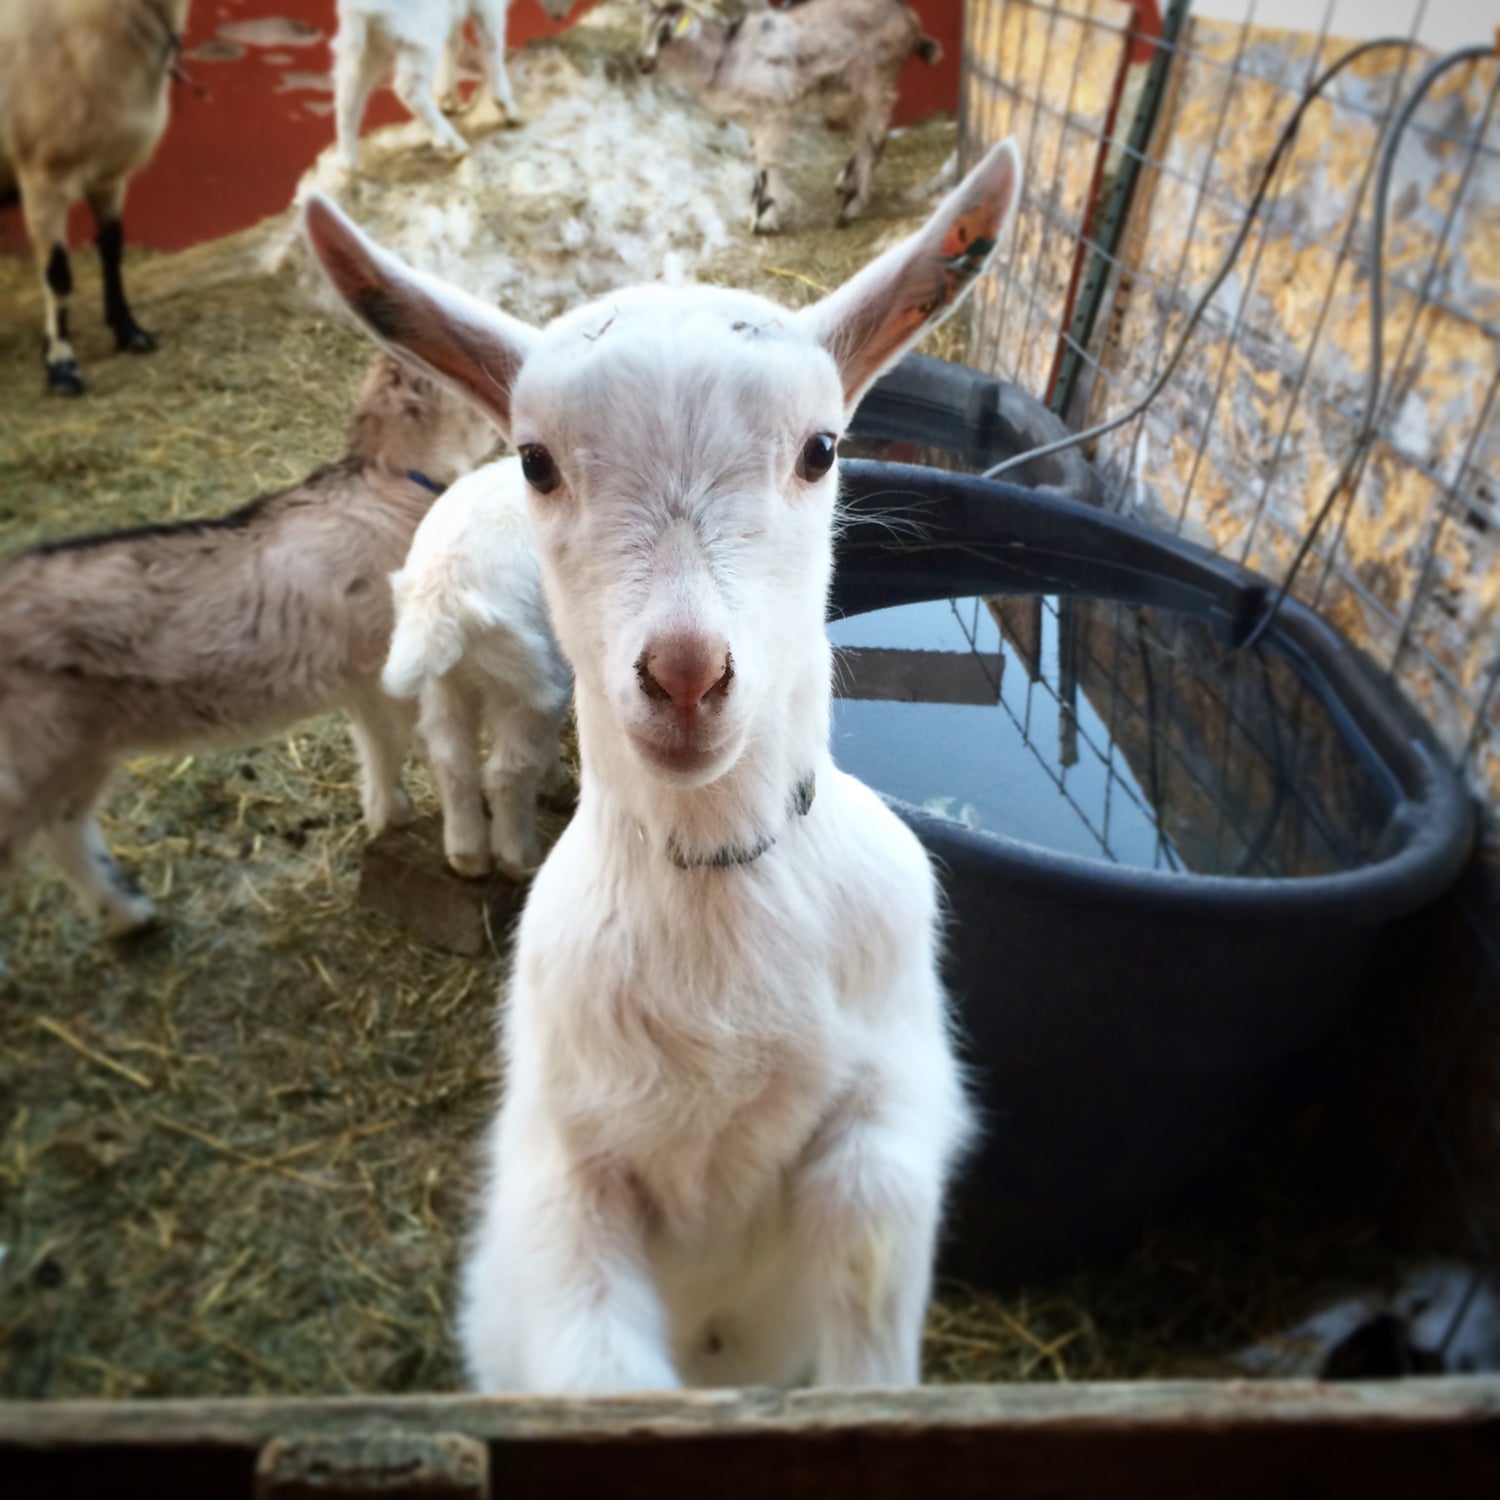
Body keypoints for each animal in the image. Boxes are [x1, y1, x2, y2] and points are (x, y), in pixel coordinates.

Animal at [0, 0, 192, 396]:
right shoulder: (42, 178)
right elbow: (58, 274)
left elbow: (112, 250)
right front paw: (61, 366)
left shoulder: (109, 176)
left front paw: (130, 332)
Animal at [0, 356, 496, 935]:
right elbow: (434, 748)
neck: (385, 481)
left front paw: (387, 813)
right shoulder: (396, 658)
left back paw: (128, 915)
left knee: (66, 826)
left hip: (79, 747)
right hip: (37, 755)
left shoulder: (360, 669)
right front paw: (469, 847)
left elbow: (375, 740)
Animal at [332, 0, 573, 172]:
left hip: (367, 52)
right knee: (408, 89)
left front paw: (447, 98)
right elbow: (491, 44)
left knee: (348, 97)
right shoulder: (488, 7)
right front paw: (509, 109)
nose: (559, 17)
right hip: (420, 43)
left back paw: (348, 163)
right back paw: (452, 144)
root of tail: (358, 11)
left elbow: (454, 43)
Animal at [383, 456, 573, 879]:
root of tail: (445, 594)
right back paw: (517, 859)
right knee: (507, 771)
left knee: (452, 759)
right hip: (531, 682)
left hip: (444, 682)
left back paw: (467, 855)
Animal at [637, 0, 941, 234]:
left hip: (878, 83)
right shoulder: (754, 119)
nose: (641, 63)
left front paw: (764, 221)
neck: (722, 59)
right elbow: (757, 159)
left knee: (873, 141)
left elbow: (766, 164)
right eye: (645, 31)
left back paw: (850, 208)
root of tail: (910, 20)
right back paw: (845, 181)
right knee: (864, 138)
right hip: (856, 91)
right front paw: (755, 208)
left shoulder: (773, 114)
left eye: (665, 35)